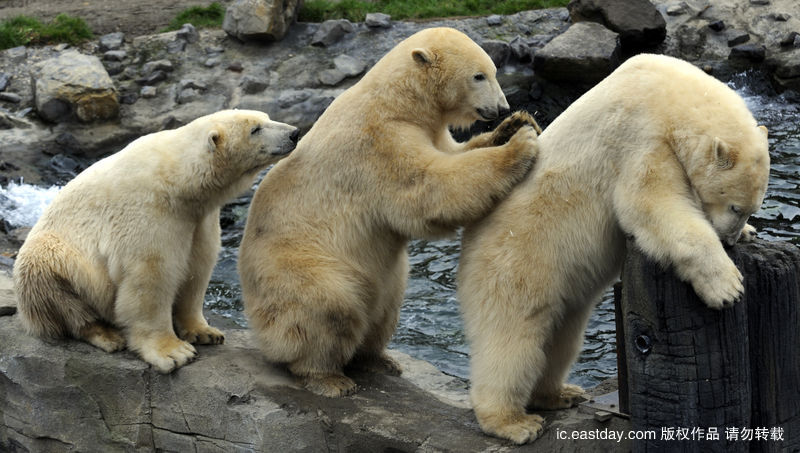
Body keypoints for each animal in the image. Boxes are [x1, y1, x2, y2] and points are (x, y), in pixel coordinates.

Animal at [13, 108, 300, 370]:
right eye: (255, 129)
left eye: (266, 117)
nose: (294, 133)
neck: (179, 181)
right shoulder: (150, 212)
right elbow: (152, 278)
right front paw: (174, 353)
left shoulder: (198, 220)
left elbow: (197, 268)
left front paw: (206, 332)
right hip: (51, 259)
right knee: (52, 282)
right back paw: (106, 334)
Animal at [238, 26, 536, 398]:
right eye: (478, 75)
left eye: (494, 72)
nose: (501, 107)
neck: (398, 100)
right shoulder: (379, 142)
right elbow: (428, 188)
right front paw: (520, 145)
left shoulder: (426, 130)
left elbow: (454, 153)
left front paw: (513, 125)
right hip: (300, 266)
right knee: (327, 309)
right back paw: (329, 377)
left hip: (388, 281)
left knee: (385, 307)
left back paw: (379, 359)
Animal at [456, 53, 768, 444]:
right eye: (735, 207)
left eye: (750, 208)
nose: (729, 238)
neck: (670, 95)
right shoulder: (643, 137)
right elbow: (652, 205)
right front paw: (727, 287)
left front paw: (750, 235)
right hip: (515, 262)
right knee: (513, 339)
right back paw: (513, 422)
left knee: (562, 338)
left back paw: (560, 393)